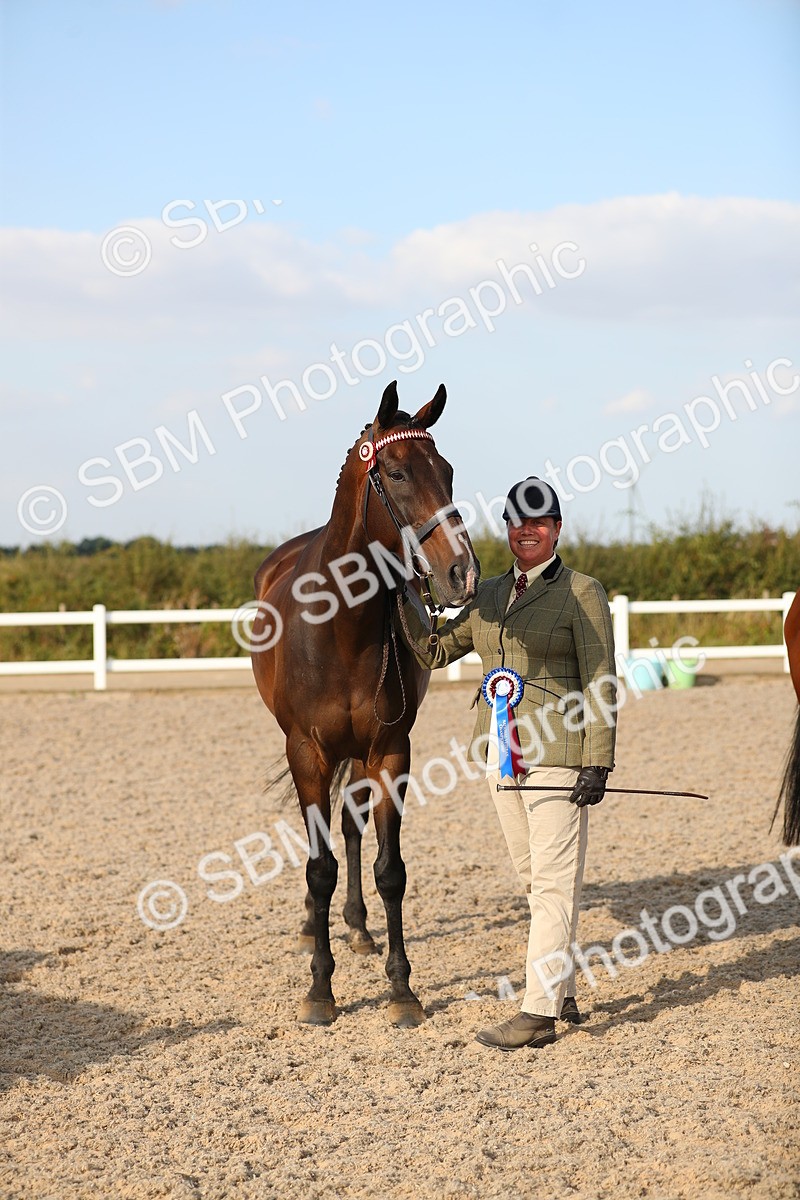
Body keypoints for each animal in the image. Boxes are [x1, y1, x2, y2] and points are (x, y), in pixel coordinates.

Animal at [250, 382, 479, 1026]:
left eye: (447, 470)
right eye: (397, 473)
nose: (462, 572)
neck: (341, 626)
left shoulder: (390, 752)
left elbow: (389, 870)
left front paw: (402, 990)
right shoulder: (307, 753)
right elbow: (318, 866)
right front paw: (319, 991)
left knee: (350, 826)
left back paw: (356, 928)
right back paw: (316, 927)